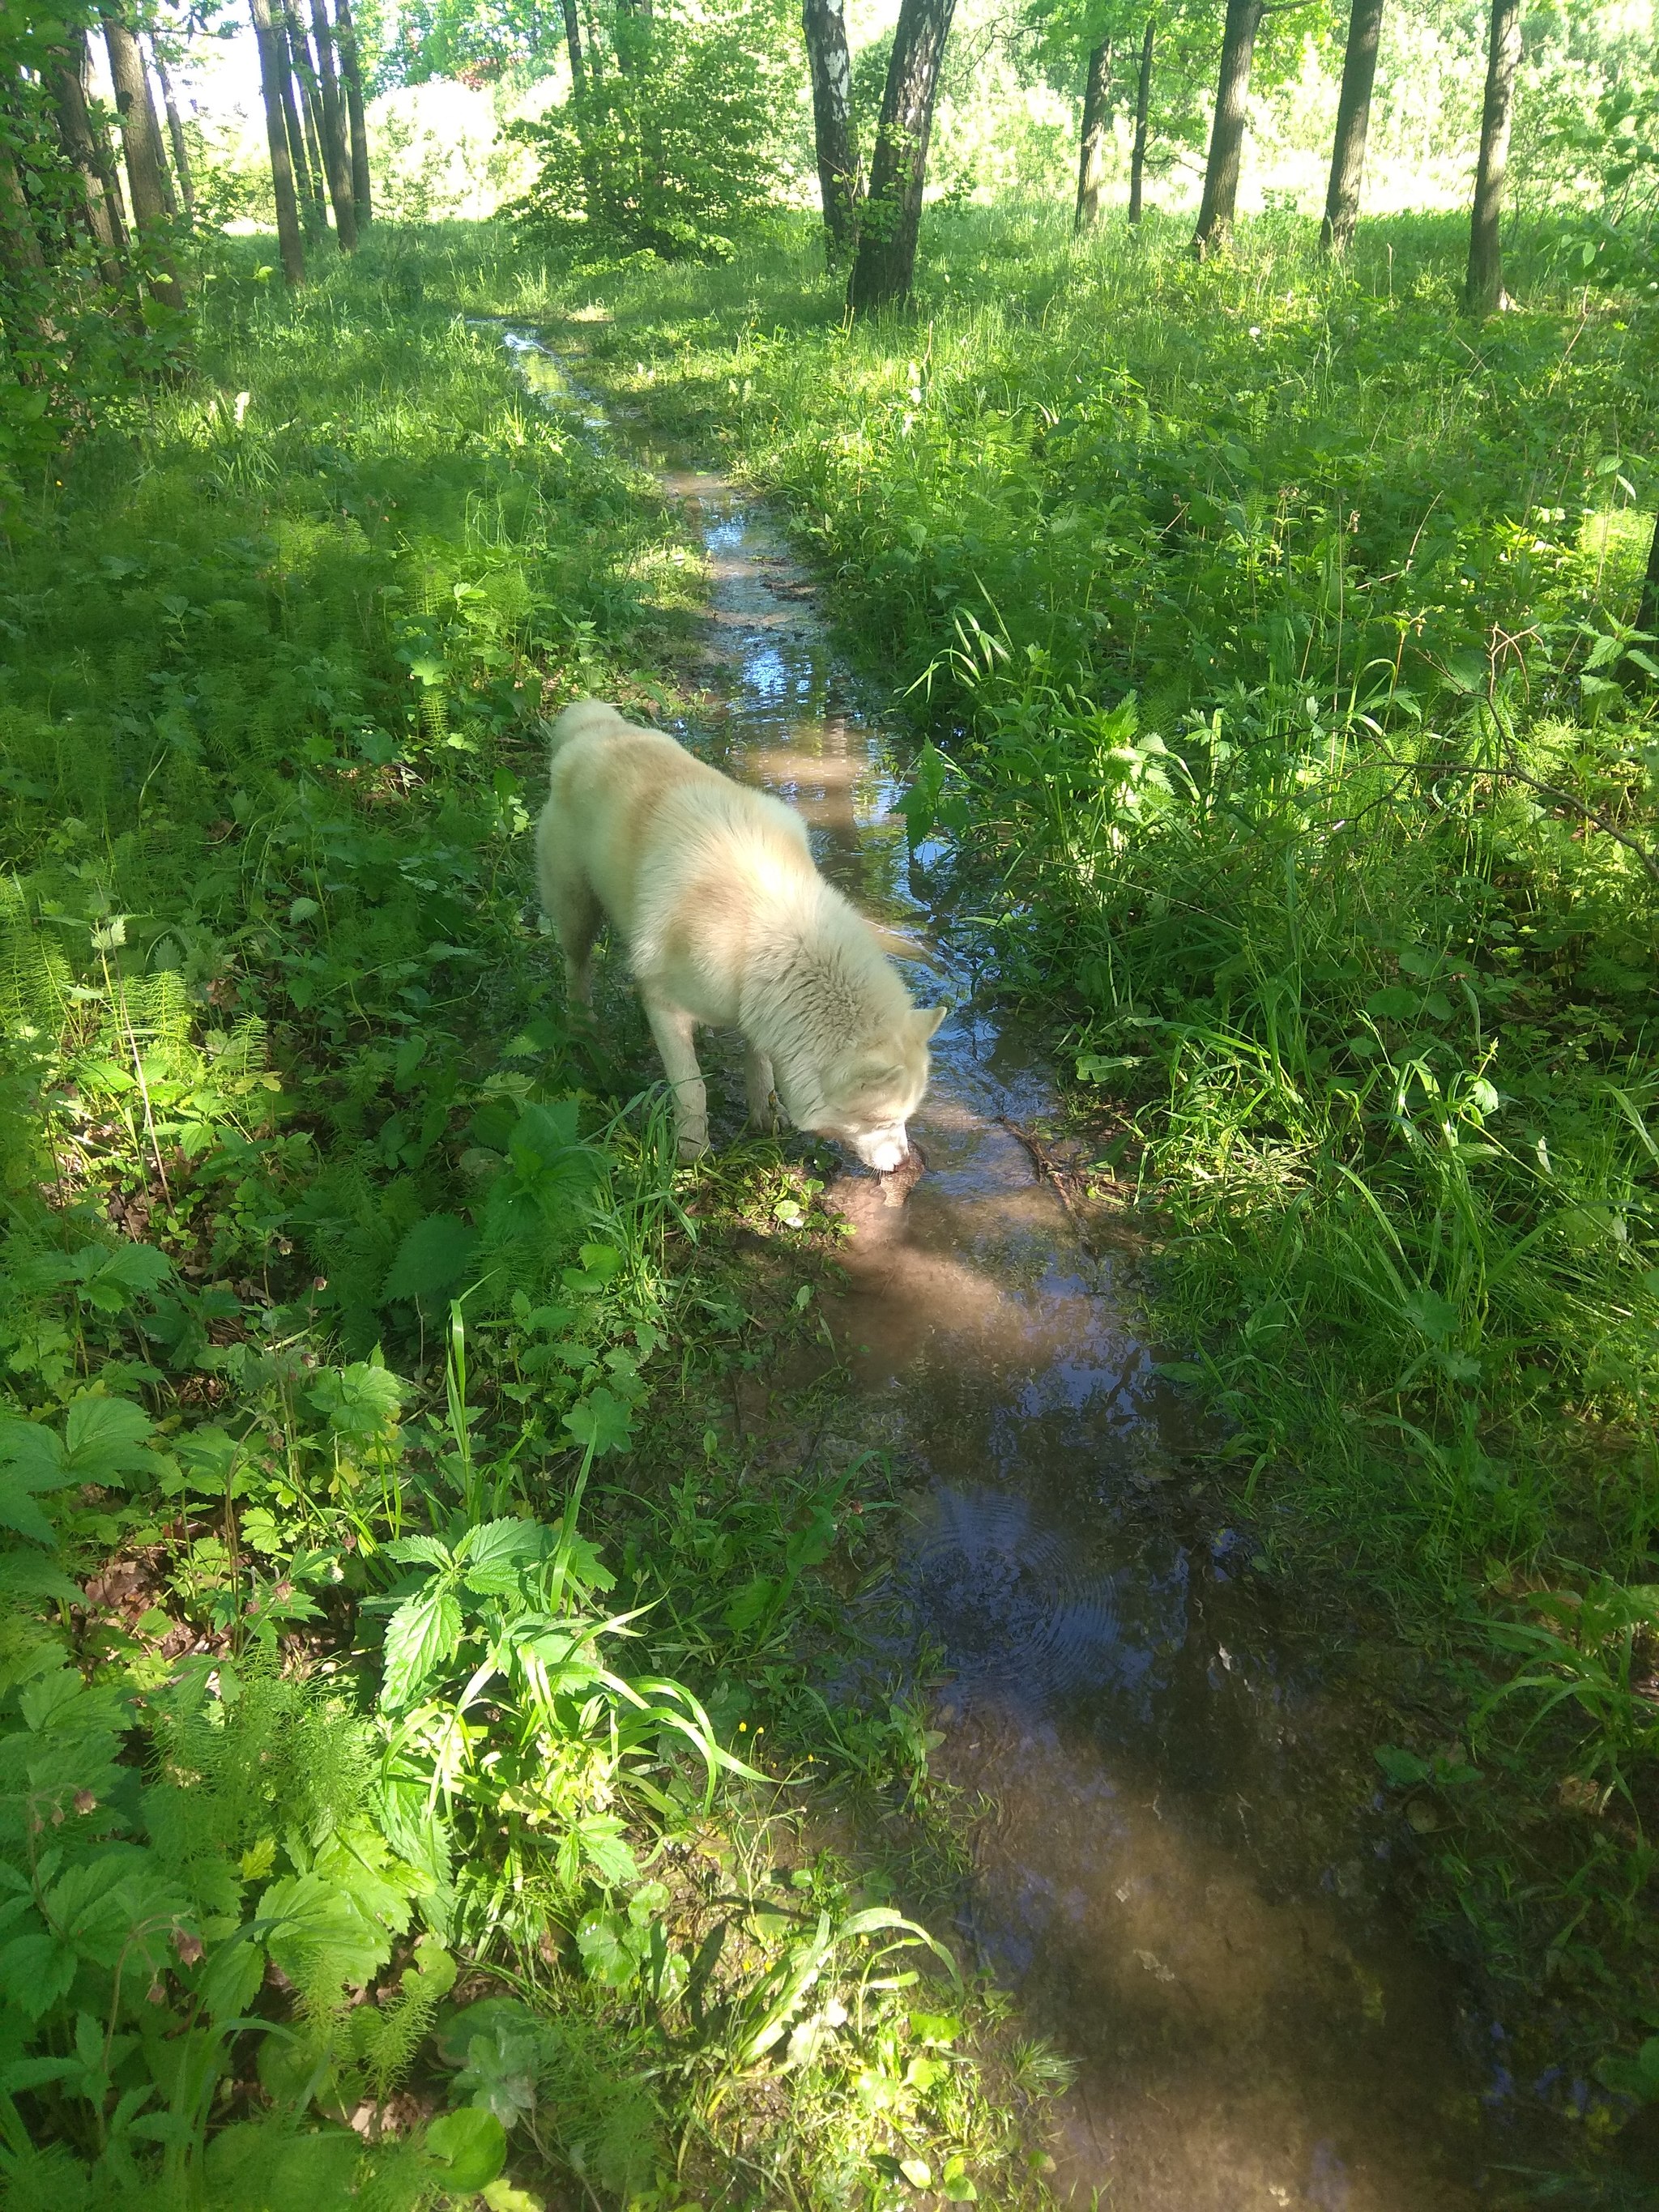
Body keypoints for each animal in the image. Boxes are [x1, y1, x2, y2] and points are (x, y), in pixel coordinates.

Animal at [539, 698, 942, 1167]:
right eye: (881, 1122)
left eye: (906, 1118)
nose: (904, 1164)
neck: (775, 936)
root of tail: (594, 726)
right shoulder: (662, 1005)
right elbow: (692, 1088)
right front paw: (692, 1151)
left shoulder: (760, 1007)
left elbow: (760, 1062)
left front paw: (765, 1114)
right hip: (576, 914)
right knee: (577, 967)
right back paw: (581, 1026)